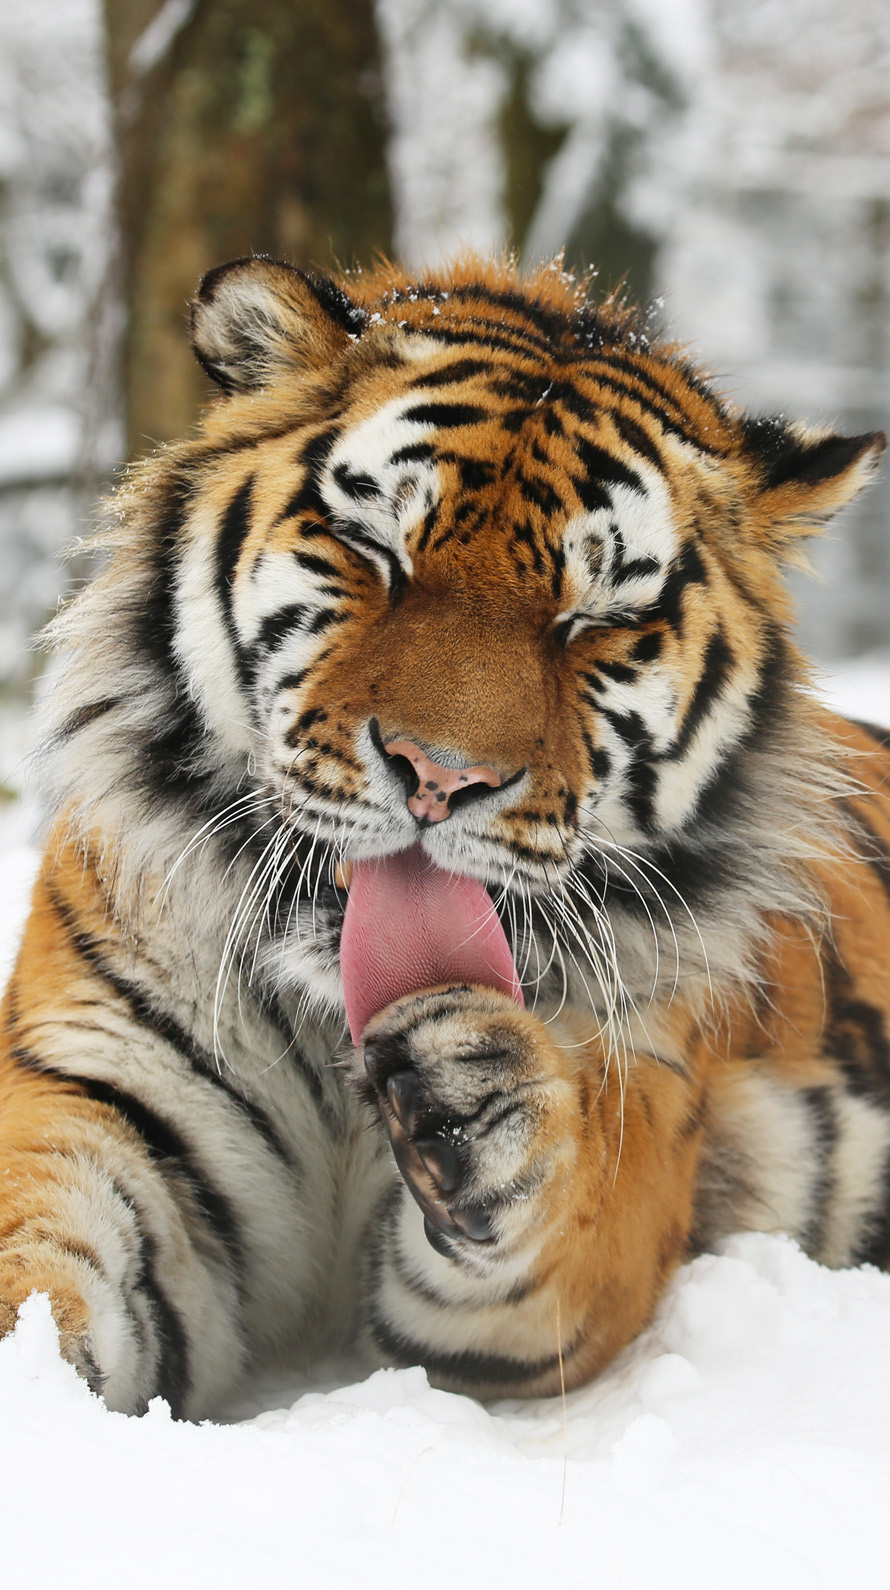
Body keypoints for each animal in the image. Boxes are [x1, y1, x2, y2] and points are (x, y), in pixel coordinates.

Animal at [0, 254, 883, 1424]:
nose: (440, 776)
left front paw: (482, 1092)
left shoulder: (634, 1141)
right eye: (375, 550)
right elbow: (38, 1283)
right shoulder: (93, 1098)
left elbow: (562, 1194)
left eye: (597, 619)